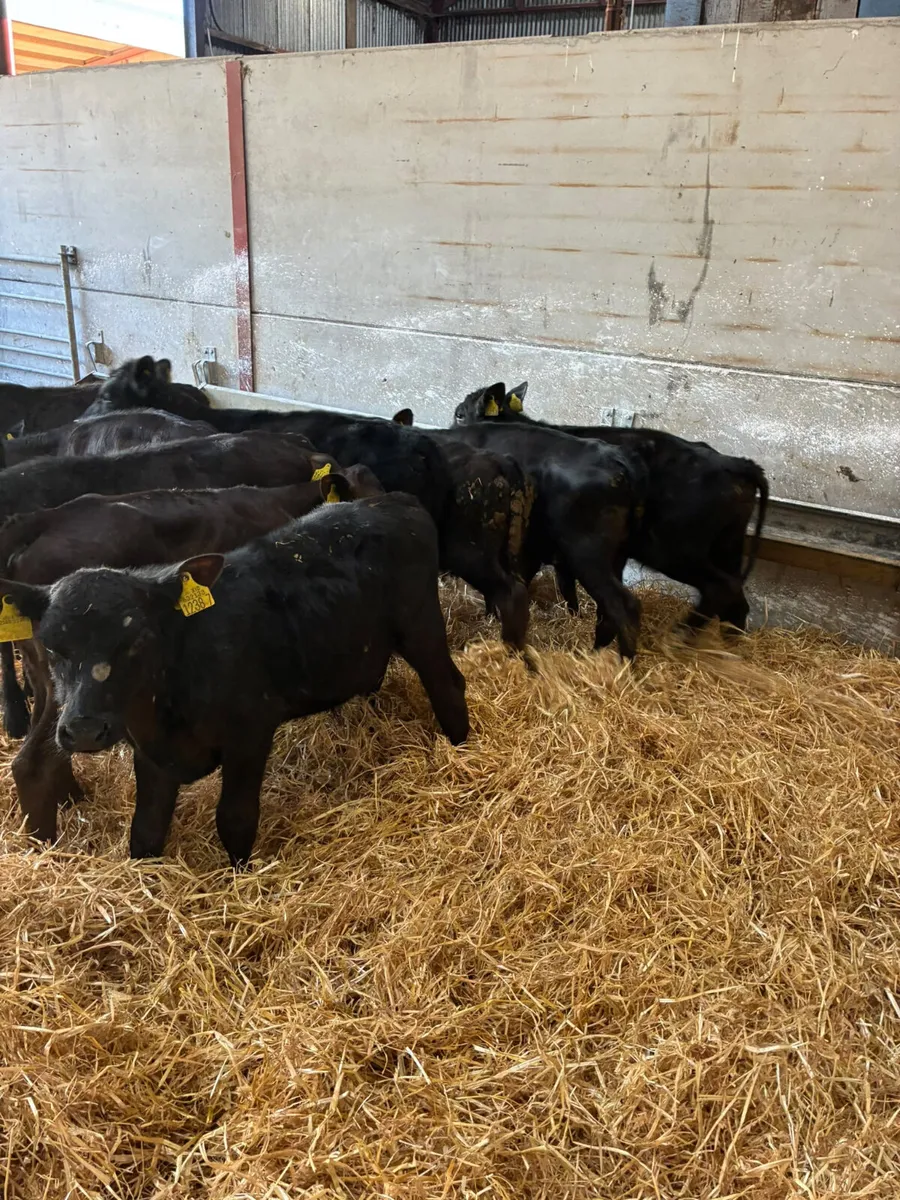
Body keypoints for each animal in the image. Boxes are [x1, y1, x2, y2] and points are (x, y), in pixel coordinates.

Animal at [0, 493, 469, 863]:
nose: (83, 729)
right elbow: (145, 831)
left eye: (137, 639)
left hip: (420, 624)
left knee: (448, 684)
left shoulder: (250, 733)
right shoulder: (152, 756)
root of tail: (391, 500)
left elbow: (235, 819)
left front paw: (241, 875)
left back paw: (462, 750)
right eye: (53, 646)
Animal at [453, 381, 769, 631]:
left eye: (459, 414)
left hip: (675, 549)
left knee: (720, 589)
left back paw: (682, 637)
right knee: (736, 601)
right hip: (727, 545)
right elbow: (565, 586)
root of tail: (735, 463)